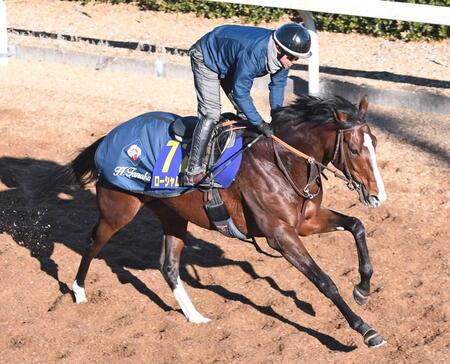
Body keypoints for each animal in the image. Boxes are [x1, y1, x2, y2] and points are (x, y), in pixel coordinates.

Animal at [41, 94, 386, 346]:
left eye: (375, 144)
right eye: (354, 149)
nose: (378, 196)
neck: (282, 162)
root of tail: (107, 138)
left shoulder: (306, 222)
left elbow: (356, 225)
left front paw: (363, 288)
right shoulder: (280, 234)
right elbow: (324, 280)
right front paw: (365, 329)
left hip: (172, 216)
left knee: (168, 265)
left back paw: (195, 316)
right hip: (119, 210)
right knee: (93, 242)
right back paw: (79, 291)